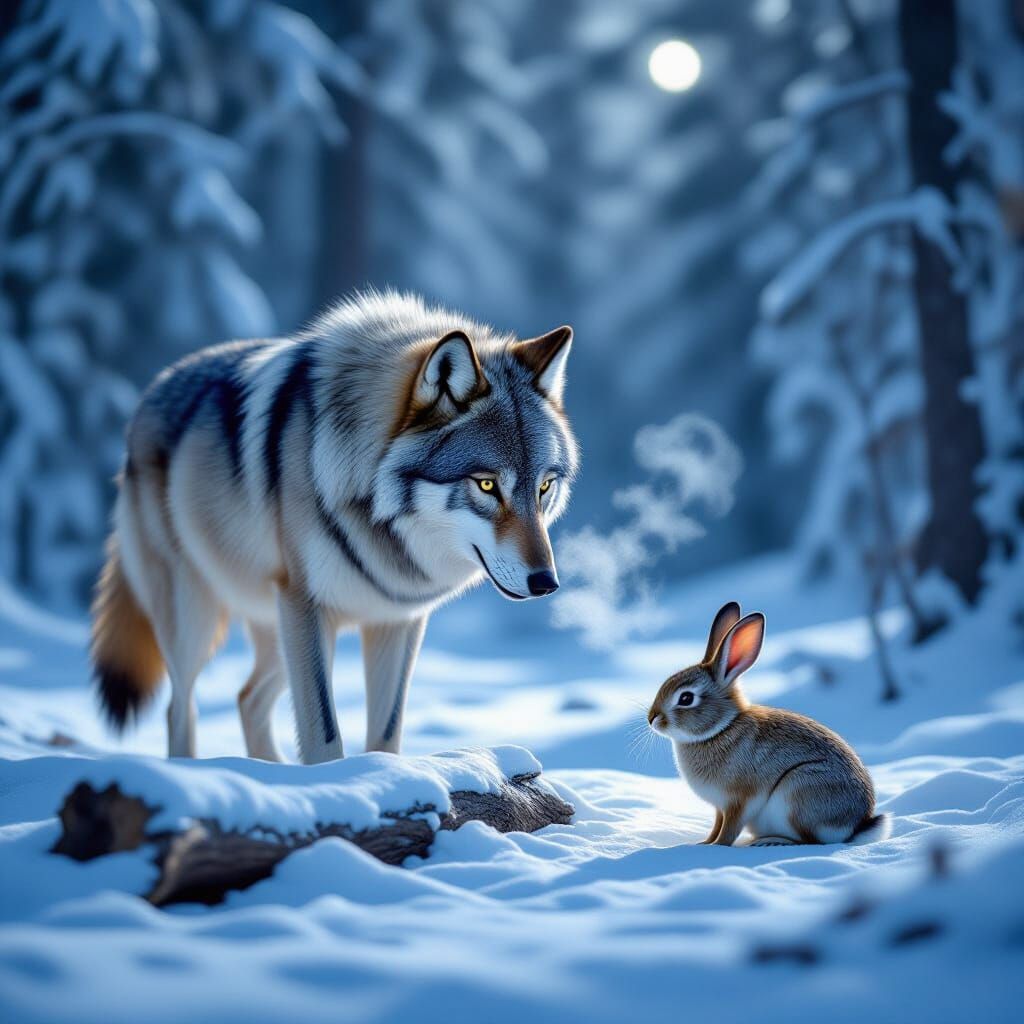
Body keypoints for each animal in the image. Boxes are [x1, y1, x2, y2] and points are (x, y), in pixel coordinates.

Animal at [90, 291, 578, 764]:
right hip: (199, 615)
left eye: (544, 486)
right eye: (487, 484)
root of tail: (152, 389)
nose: (546, 583)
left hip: (275, 631)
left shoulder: (397, 620)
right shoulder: (306, 605)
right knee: (180, 708)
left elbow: (385, 736)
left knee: (247, 697)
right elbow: (324, 736)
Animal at [647, 602, 890, 847]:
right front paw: (704, 843)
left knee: (810, 840)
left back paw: (772, 841)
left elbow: (730, 828)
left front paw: (717, 847)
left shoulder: (739, 800)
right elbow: (717, 825)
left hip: (798, 793)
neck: (721, 729)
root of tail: (856, 826)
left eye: (686, 698)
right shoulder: (720, 807)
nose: (652, 719)